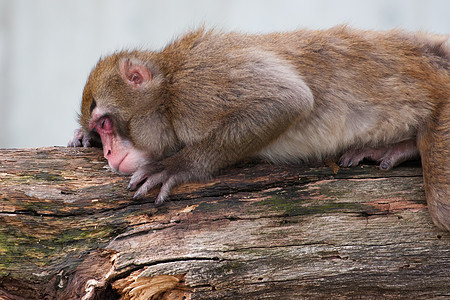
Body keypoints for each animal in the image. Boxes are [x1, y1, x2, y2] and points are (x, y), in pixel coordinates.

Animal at [68, 26, 448, 232]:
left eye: (106, 123)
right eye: (98, 129)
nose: (108, 152)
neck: (168, 94)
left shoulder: (199, 82)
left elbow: (288, 99)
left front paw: (179, 165)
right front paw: (81, 138)